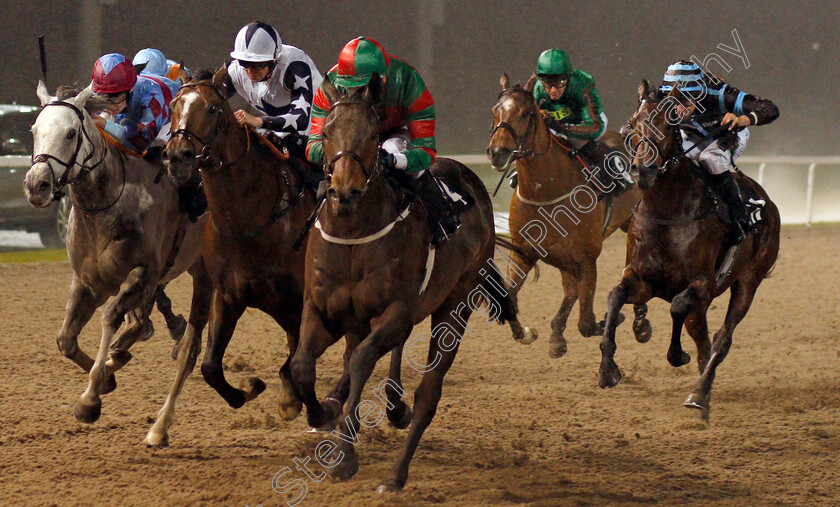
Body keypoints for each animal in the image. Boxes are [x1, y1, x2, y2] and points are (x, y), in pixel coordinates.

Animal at [25, 82, 213, 424]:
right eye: (34, 130)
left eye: (70, 133)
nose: (37, 185)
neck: (108, 202)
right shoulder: (87, 282)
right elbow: (66, 340)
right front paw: (107, 377)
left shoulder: (141, 275)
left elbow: (110, 317)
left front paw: (90, 397)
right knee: (143, 321)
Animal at [288, 75, 512, 492]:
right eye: (325, 132)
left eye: (373, 135)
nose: (343, 191)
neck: (353, 235)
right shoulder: (322, 307)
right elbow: (302, 365)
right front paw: (321, 412)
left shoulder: (396, 312)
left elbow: (362, 360)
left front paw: (345, 456)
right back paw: (384, 404)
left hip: (454, 306)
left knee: (428, 393)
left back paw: (395, 473)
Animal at [486, 73, 648, 360]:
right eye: (496, 111)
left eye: (527, 113)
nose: (498, 152)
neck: (546, 191)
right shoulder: (524, 252)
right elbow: (508, 297)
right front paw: (529, 333)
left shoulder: (586, 259)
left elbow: (586, 324)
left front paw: (611, 320)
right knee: (571, 290)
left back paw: (640, 324)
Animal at [596, 80, 780, 420]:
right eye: (633, 124)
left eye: (668, 124)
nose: (643, 170)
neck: (668, 212)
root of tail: (768, 202)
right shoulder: (643, 279)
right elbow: (615, 296)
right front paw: (608, 370)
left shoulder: (703, 284)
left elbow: (678, 306)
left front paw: (677, 355)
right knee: (703, 335)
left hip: (748, 281)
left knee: (722, 338)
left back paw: (699, 393)